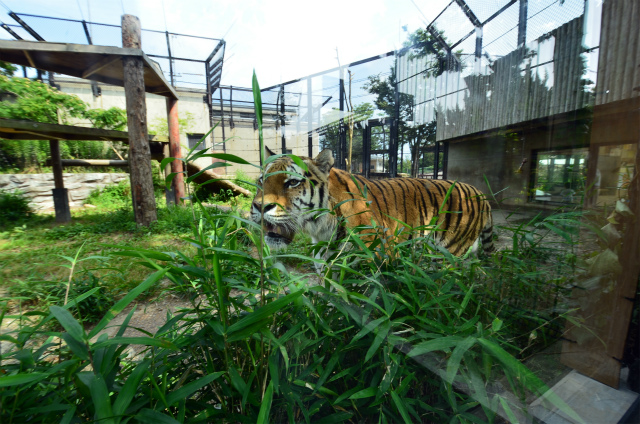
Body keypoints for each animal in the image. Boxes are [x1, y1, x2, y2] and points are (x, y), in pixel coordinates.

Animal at [250, 147, 496, 256]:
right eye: (261, 181)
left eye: (292, 182)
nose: (260, 207)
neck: (321, 230)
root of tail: (481, 193)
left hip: (449, 252)